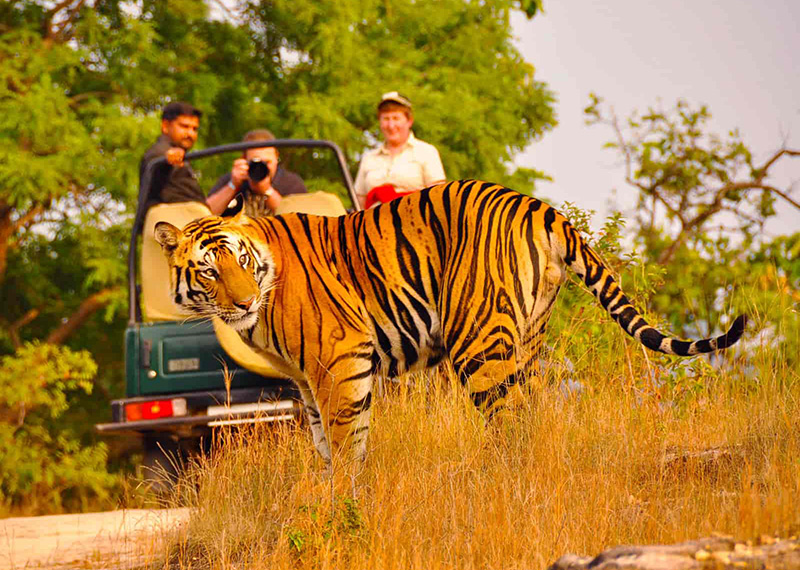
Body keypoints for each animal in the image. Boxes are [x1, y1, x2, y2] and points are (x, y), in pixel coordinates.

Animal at [154, 180, 746, 462]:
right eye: (208, 270)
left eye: (241, 260)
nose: (243, 302)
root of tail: (541, 207)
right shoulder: (306, 381)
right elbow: (327, 444)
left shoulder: (339, 362)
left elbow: (347, 446)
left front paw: (344, 507)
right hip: (528, 339)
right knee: (534, 416)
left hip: (478, 343)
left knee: (511, 424)